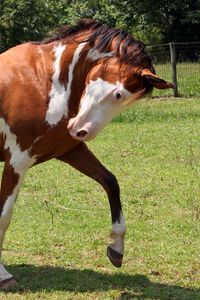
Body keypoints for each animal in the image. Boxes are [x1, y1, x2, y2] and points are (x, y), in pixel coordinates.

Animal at [0, 19, 173, 290]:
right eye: (118, 94)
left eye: (128, 101)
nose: (81, 130)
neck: (42, 81)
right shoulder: (16, 162)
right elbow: (4, 216)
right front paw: (3, 276)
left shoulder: (71, 151)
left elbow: (111, 182)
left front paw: (117, 249)